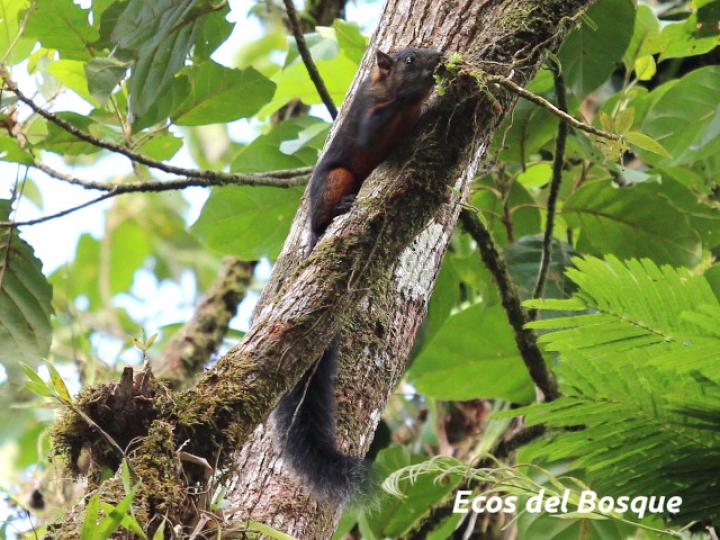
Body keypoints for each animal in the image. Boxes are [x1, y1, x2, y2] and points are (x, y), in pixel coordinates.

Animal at [274, 47, 441, 503]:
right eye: (408, 59)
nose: (438, 57)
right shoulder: (367, 116)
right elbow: (371, 135)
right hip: (337, 178)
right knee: (327, 209)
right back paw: (341, 210)